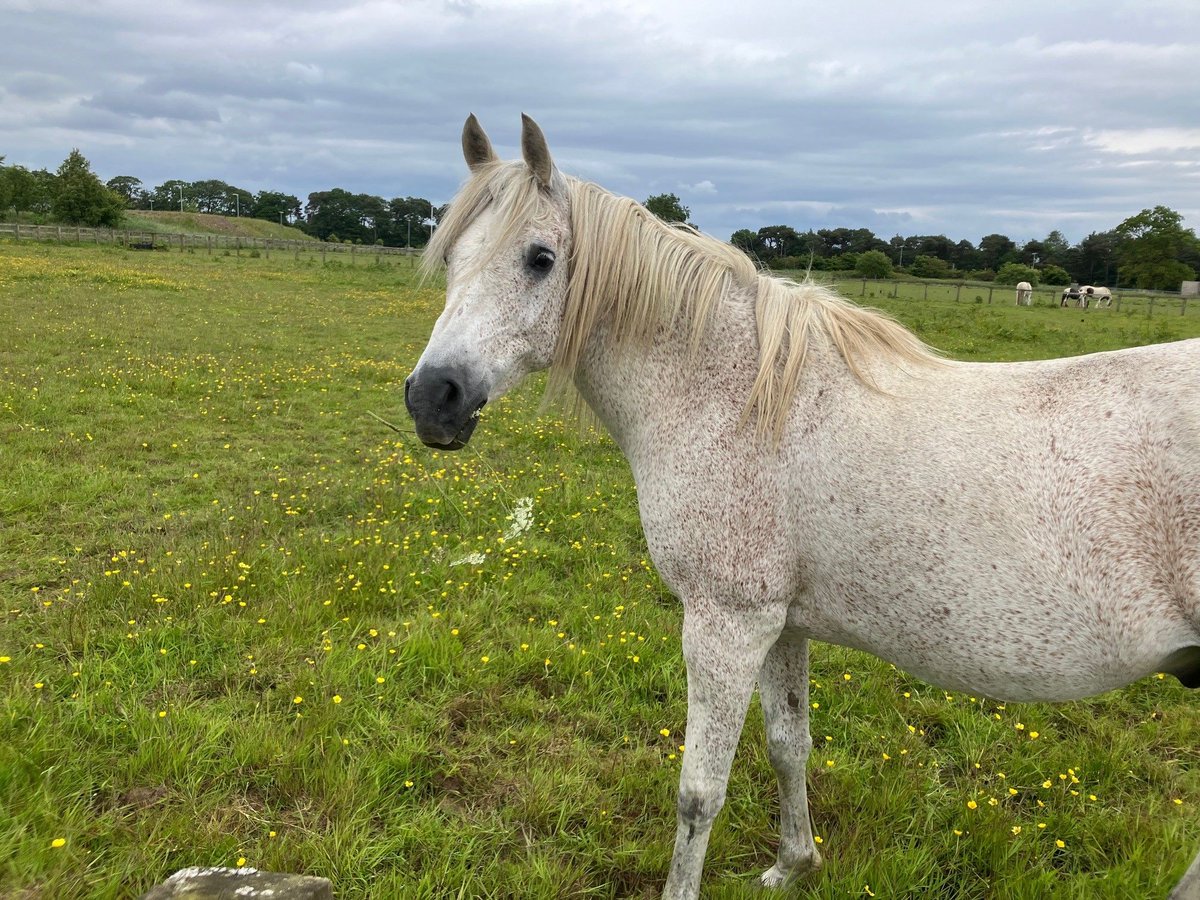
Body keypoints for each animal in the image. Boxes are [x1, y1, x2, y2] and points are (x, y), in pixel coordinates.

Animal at [404, 114, 1200, 900]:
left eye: (539, 258)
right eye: (451, 256)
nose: (432, 397)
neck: (738, 398)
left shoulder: (726, 624)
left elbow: (700, 793)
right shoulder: (780, 624)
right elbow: (789, 744)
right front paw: (795, 863)